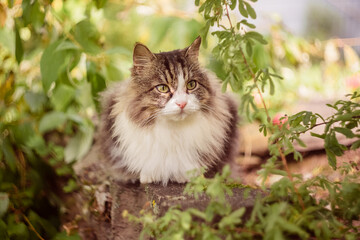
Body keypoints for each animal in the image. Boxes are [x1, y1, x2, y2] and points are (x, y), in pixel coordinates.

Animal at [97, 36, 238, 185]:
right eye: (163, 88)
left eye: (191, 85)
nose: (182, 103)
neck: (174, 131)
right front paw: (148, 177)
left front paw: (185, 177)